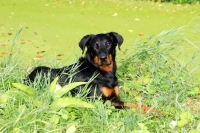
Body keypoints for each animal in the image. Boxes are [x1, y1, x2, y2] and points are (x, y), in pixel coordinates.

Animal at [26, 31, 158, 112]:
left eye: (108, 43)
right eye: (95, 45)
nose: (103, 58)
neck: (104, 73)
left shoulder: (115, 99)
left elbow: (137, 105)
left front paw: (156, 111)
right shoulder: (100, 102)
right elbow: (129, 108)